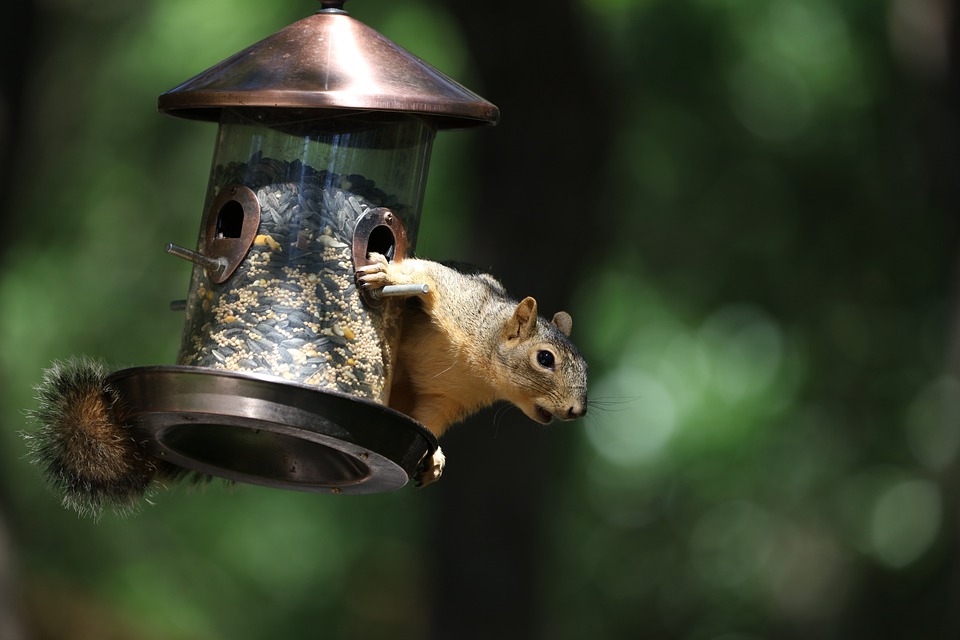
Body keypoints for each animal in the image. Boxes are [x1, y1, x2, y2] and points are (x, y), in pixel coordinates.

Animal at [358, 253, 589, 485]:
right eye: (545, 358)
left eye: (585, 366)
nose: (578, 411)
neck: (481, 372)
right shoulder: (457, 298)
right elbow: (423, 272)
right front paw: (386, 273)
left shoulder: (449, 399)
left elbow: (428, 419)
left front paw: (435, 457)